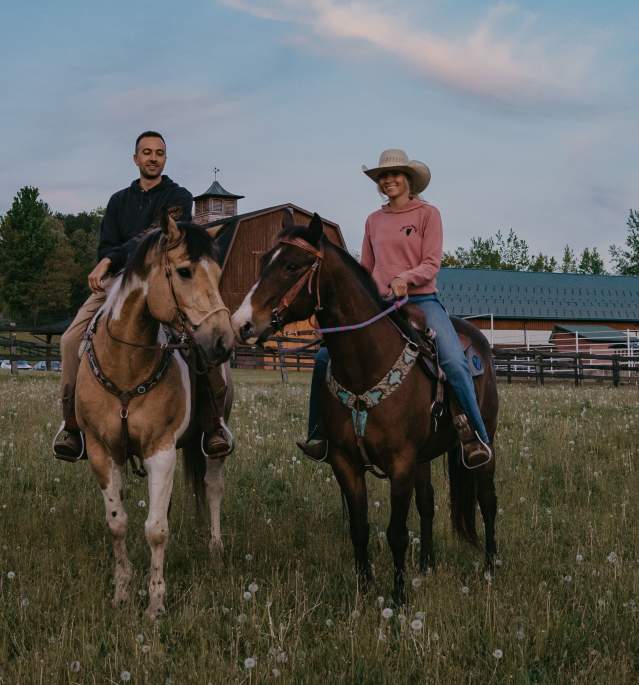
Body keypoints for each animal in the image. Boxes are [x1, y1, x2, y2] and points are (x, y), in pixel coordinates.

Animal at [75, 214, 235, 620]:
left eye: (218, 274)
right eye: (184, 271)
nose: (224, 342)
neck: (126, 366)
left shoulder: (160, 451)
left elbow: (156, 529)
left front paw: (156, 604)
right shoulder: (102, 453)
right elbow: (118, 524)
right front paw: (122, 593)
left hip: (212, 444)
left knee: (212, 489)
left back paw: (215, 550)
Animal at [235, 214, 500, 604]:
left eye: (292, 265)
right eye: (264, 260)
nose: (242, 324)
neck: (367, 366)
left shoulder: (401, 463)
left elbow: (396, 534)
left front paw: (399, 599)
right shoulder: (345, 462)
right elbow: (360, 528)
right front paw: (365, 591)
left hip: (485, 439)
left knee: (487, 500)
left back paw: (490, 568)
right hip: (424, 457)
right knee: (428, 503)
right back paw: (427, 565)